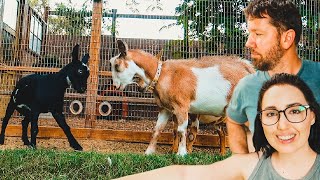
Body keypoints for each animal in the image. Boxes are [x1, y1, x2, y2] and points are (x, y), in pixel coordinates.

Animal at [110, 39, 255, 156]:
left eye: (116, 66)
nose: (115, 86)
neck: (163, 74)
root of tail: (249, 68)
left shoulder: (182, 108)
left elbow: (181, 130)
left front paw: (181, 154)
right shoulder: (165, 109)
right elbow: (157, 130)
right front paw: (148, 153)